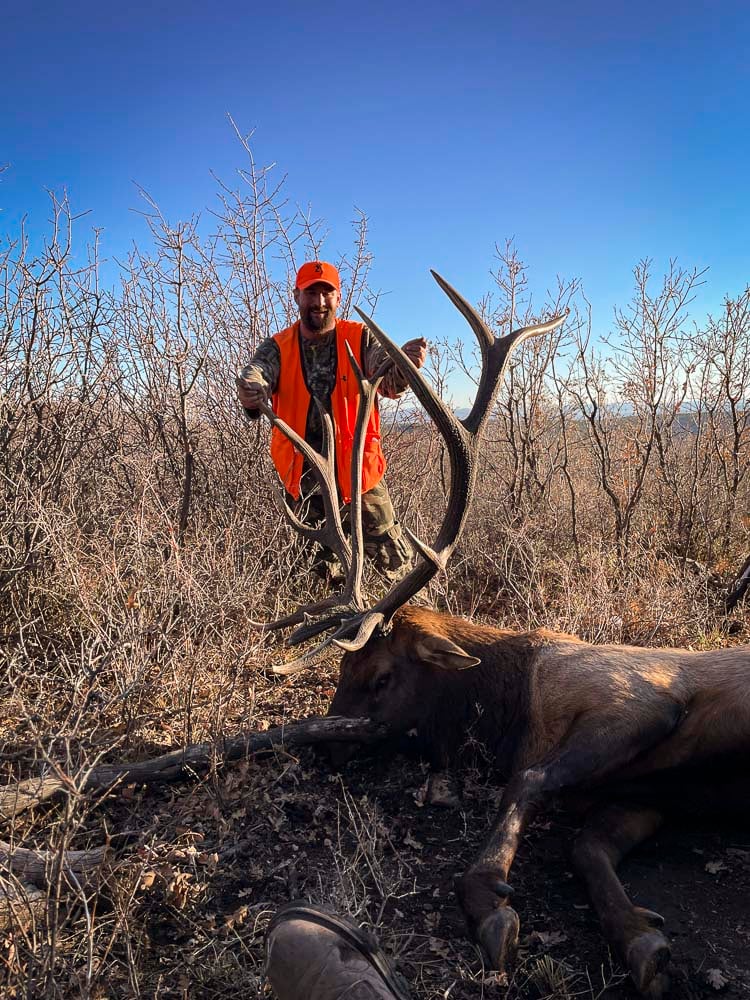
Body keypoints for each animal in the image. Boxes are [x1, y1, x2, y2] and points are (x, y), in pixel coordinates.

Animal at [256, 272, 750, 999]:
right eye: (340, 671)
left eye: (380, 676)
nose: (326, 748)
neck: (508, 708)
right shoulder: (642, 795)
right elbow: (585, 844)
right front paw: (642, 939)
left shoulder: (638, 699)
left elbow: (530, 782)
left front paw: (493, 905)